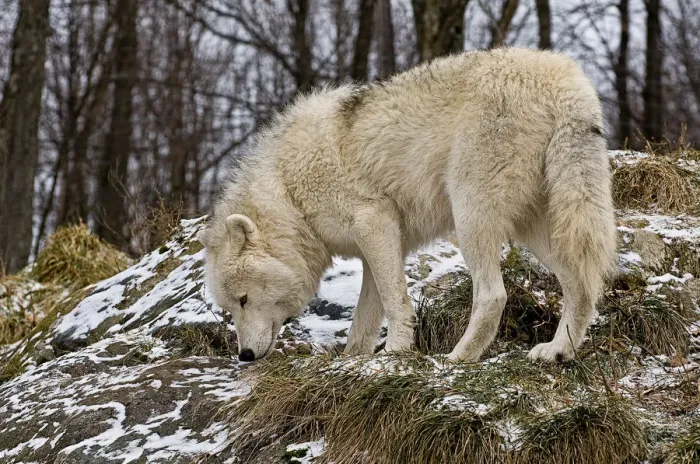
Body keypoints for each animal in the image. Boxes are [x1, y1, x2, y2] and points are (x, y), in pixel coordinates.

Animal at [198, 48, 617, 363]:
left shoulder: (375, 223)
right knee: (582, 286)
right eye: (231, 308)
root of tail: (565, 79)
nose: (245, 356)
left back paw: (457, 358)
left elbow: (395, 302)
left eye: (244, 299)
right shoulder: (374, 249)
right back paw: (559, 351)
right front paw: (355, 360)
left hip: (471, 216)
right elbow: (364, 321)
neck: (290, 192)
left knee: (494, 296)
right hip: (539, 228)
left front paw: (395, 353)